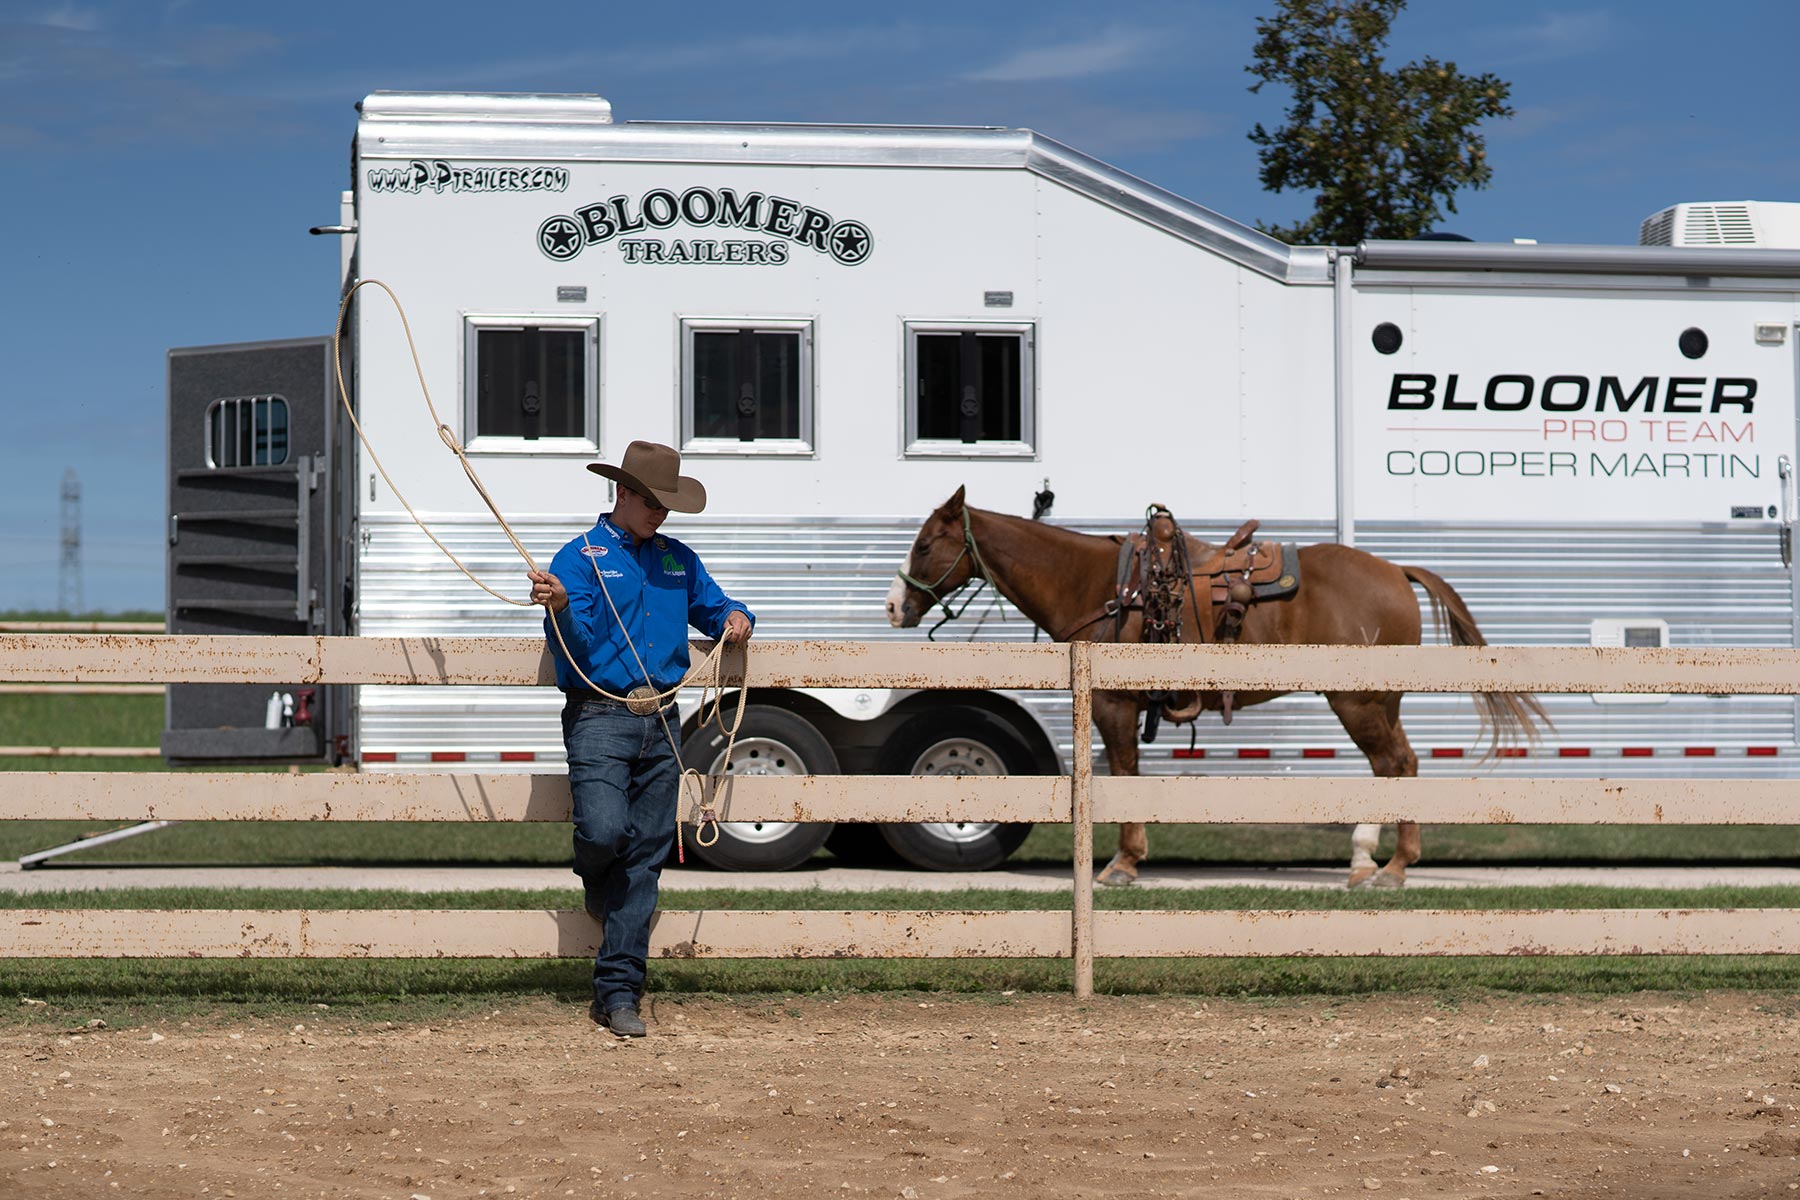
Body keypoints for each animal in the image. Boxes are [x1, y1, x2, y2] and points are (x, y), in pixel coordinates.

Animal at [885, 489, 1548, 892]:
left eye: (925, 544)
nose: (894, 607)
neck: (1104, 588)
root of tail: (1395, 571)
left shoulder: (1114, 705)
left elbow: (1123, 773)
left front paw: (1122, 864)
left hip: (1358, 701)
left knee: (1391, 764)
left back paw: (1386, 867)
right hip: (1383, 702)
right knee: (1403, 764)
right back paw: (1375, 862)